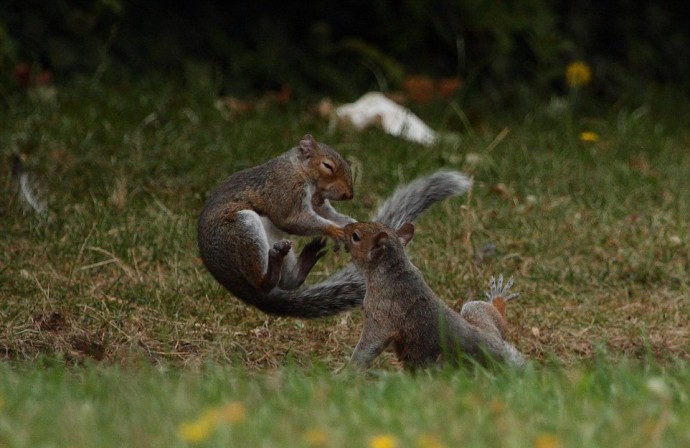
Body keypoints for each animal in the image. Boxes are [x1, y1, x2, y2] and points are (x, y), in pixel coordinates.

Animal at [196, 134, 470, 318]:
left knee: (286, 282)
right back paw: (272, 266)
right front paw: (336, 231)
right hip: (241, 231)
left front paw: (349, 223)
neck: (298, 170)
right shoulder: (284, 192)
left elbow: (326, 213)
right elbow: (294, 219)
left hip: (268, 234)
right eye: (327, 166)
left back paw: (304, 260)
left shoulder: (318, 203)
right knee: (262, 282)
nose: (349, 194)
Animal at [342, 220, 524, 372]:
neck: (393, 270)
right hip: (476, 312)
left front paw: (349, 371)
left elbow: (370, 345)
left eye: (355, 236)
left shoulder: (383, 313)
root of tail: (498, 353)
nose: (345, 227)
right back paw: (498, 300)